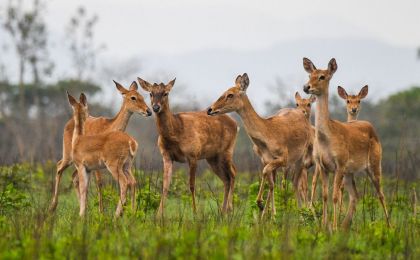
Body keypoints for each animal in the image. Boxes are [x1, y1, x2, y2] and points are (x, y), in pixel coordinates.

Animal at [49, 81, 151, 213]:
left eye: (142, 96)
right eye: (133, 97)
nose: (148, 111)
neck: (109, 127)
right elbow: (99, 182)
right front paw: (101, 211)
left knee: (74, 177)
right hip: (68, 156)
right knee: (59, 167)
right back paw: (53, 206)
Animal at [137, 76, 238, 216]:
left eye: (166, 93)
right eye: (151, 93)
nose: (155, 107)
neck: (176, 132)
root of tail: (236, 124)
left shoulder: (192, 154)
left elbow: (191, 185)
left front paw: (195, 213)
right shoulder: (166, 156)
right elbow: (165, 185)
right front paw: (159, 215)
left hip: (227, 150)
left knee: (233, 173)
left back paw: (230, 209)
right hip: (212, 157)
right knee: (226, 179)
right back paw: (222, 212)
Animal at [207, 73, 312, 217]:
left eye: (230, 94)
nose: (210, 109)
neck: (267, 132)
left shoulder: (283, 159)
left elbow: (265, 173)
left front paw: (262, 205)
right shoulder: (266, 160)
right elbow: (270, 182)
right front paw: (265, 211)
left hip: (300, 160)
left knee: (297, 183)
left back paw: (302, 212)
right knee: (288, 183)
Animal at [302, 58, 390, 229]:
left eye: (322, 76)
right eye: (309, 75)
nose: (306, 87)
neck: (326, 138)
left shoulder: (340, 164)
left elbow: (335, 196)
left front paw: (333, 226)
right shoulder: (322, 165)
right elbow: (325, 196)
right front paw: (325, 226)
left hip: (375, 164)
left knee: (381, 194)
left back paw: (389, 226)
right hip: (350, 173)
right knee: (355, 195)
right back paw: (345, 226)